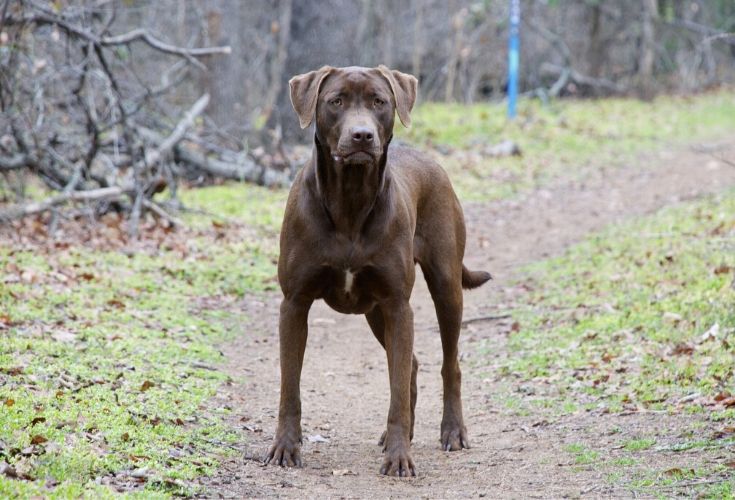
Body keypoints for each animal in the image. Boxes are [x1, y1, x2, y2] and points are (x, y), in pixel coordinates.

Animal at [264, 65, 488, 476]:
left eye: (379, 102)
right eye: (335, 101)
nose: (362, 135)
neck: (350, 201)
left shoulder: (399, 305)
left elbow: (396, 389)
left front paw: (399, 457)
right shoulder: (294, 304)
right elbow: (290, 387)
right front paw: (286, 447)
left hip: (444, 286)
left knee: (449, 364)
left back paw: (452, 431)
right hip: (374, 312)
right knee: (412, 364)